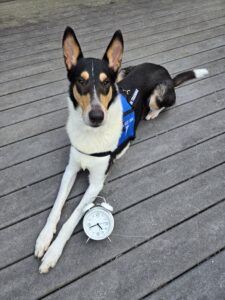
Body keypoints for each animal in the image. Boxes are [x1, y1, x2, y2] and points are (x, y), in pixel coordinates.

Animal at [34, 27, 208, 274]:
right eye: (81, 81)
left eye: (105, 83)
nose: (97, 116)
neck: (91, 135)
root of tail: (164, 70)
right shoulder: (70, 169)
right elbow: (57, 206)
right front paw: (44, 238)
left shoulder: (96, 183)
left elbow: (73, 217)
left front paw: (53, 253)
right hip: (124, 72)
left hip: (156, 94)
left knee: (162, 104)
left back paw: (152, 114)